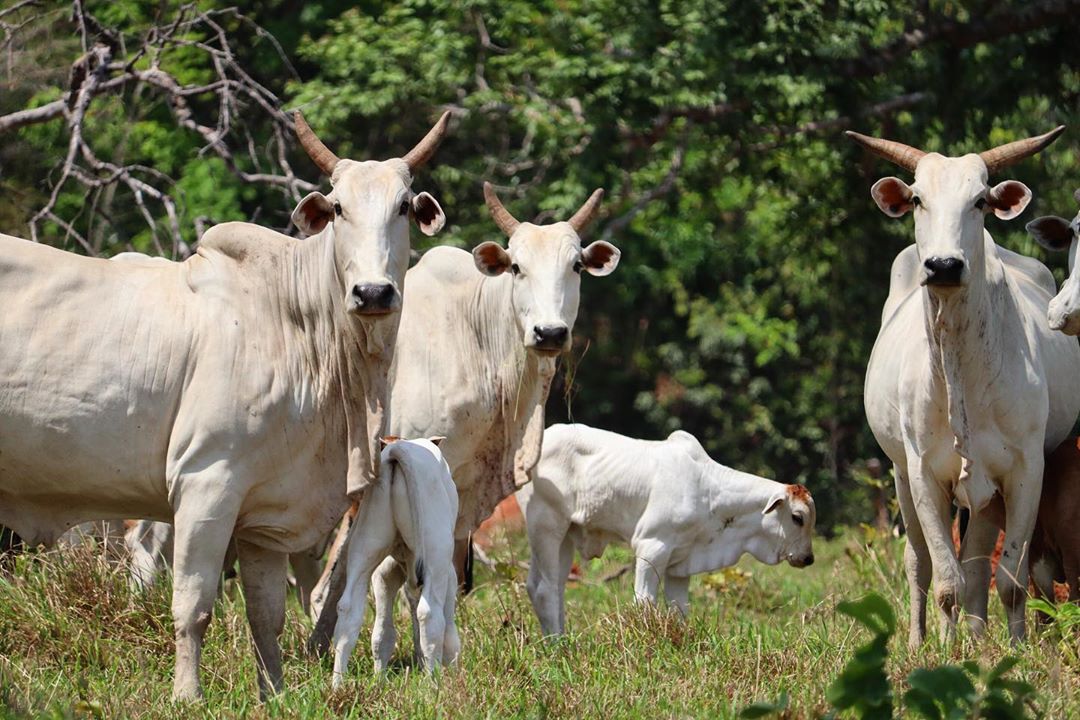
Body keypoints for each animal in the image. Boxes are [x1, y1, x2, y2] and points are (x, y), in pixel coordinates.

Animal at [332, 436, 460, 690]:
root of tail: (398, 448)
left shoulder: (384, 572)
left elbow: (383, 632)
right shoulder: (448, 571)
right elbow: (449, 632)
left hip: (365, 544)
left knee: (349, 611)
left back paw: (337, 685)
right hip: (436, 550)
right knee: (430, 615)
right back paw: (434, 686)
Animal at [518, 423, 812, 634]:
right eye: (797, 517)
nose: (808, 558)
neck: (710, 493)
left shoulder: (680, 564)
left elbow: (679, 609)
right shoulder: (652, 546)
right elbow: (645, 602)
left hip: (565, 535)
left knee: (551, 585)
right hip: (546, 525)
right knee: (544, 589)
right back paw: (558, 646)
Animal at [851, 126, 1080, 643]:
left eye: (979, 201)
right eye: (918, 199)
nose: (943, 266)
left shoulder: (1025, 471)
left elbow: (1009, 580)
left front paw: (1015, 649)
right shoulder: (922, 473)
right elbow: (944, 581)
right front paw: (944, 651)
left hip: (985, 493)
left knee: (977, 569)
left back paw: (977, 639)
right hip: (901, 476)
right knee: (919, 564)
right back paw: (921, 641)